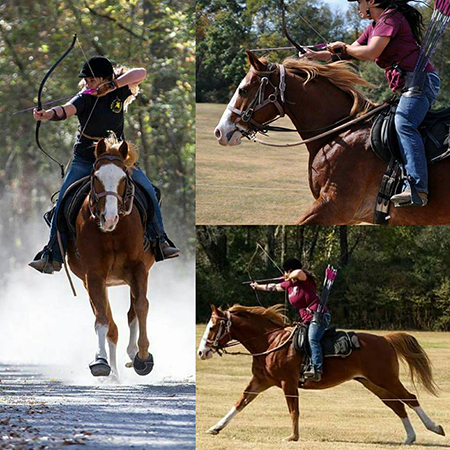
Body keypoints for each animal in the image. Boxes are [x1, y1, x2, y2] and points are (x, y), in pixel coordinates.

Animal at [66, 139, 156, 378]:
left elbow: (141, 306)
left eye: (123, 178)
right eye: (96, 177)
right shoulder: (94, 274)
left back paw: (132, 353)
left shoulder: (138, 268)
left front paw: (143, 356)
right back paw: (113, 372)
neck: (113, 232)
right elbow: (102, 319)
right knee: (111, 324)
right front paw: (101, 362)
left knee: (133, 311)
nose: (109, 218)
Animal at [198, 304, 446, 444]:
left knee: (410, 398)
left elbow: (294, 410)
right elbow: (240, 402)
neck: (271, 342)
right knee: (398, 406)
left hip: (386, 379)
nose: (201, 352)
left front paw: (293, 437)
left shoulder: (288, 384)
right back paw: (410, 437)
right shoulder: (260, 381)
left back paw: (434, 427)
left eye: (212, 327)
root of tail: (385, 339)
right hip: (374, 384)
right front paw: (215, 427)